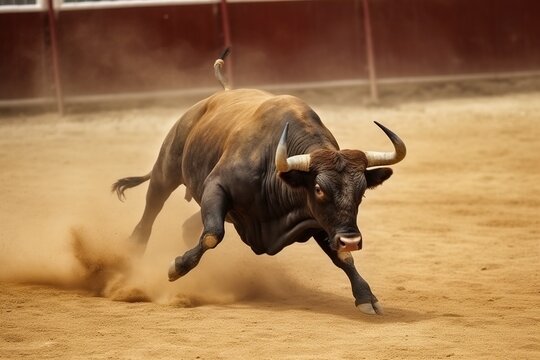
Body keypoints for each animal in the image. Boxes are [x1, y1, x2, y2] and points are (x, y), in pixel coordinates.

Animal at [113, 51, 404, 316]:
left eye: (361, 192)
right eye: (319, 189)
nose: (351, 240)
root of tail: (218, 95)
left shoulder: (318, 220)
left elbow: (342, 257)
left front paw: (366, 296)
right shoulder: (216, 187)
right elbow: (212, 234)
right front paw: (177, 267)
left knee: (187, 224)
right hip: (167, 167)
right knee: (152, 208)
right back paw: (130, 254)